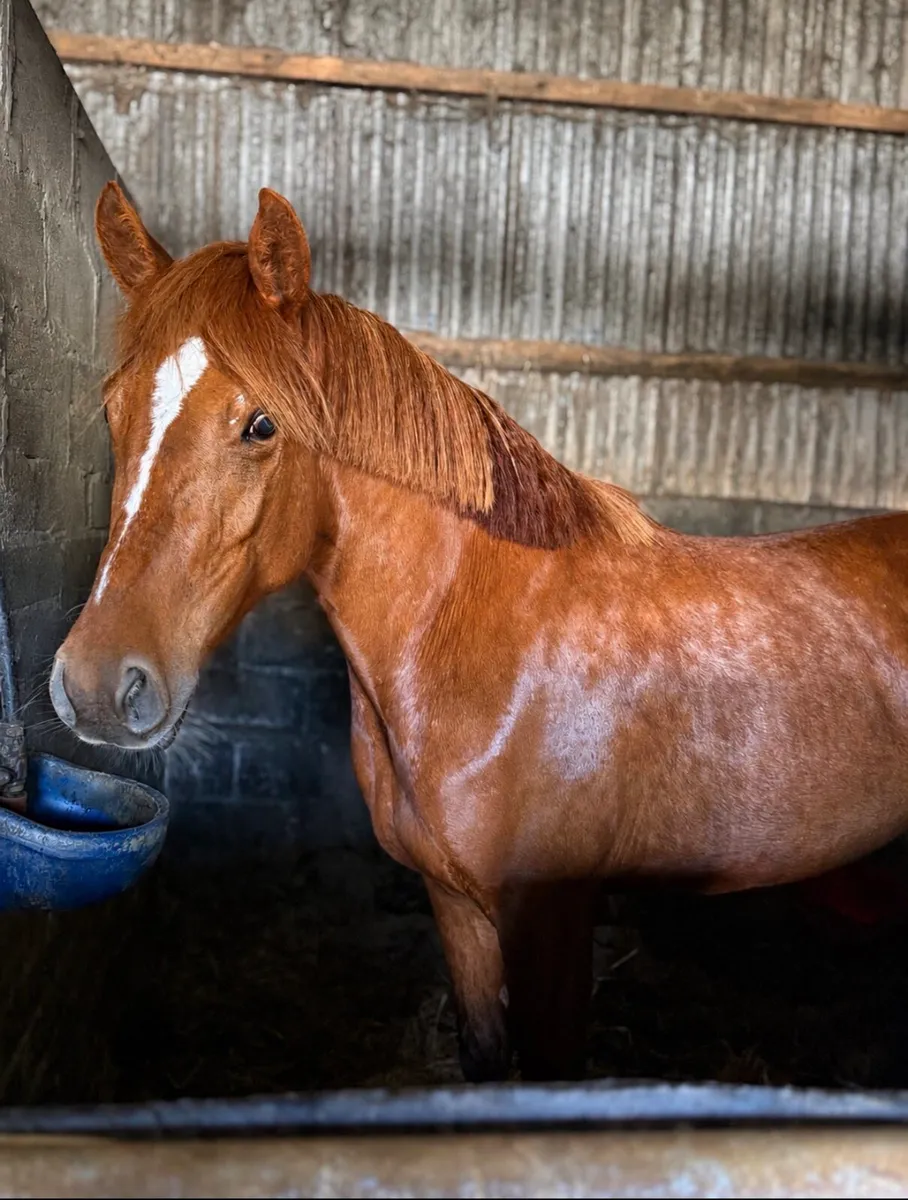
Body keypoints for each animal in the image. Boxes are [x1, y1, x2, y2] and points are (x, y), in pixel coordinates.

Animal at [50, 181, 908, 1083]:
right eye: (114, 409)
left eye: (260, 425)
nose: (97, 685)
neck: (485, 649)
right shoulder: (456, 907)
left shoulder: (552, 923)